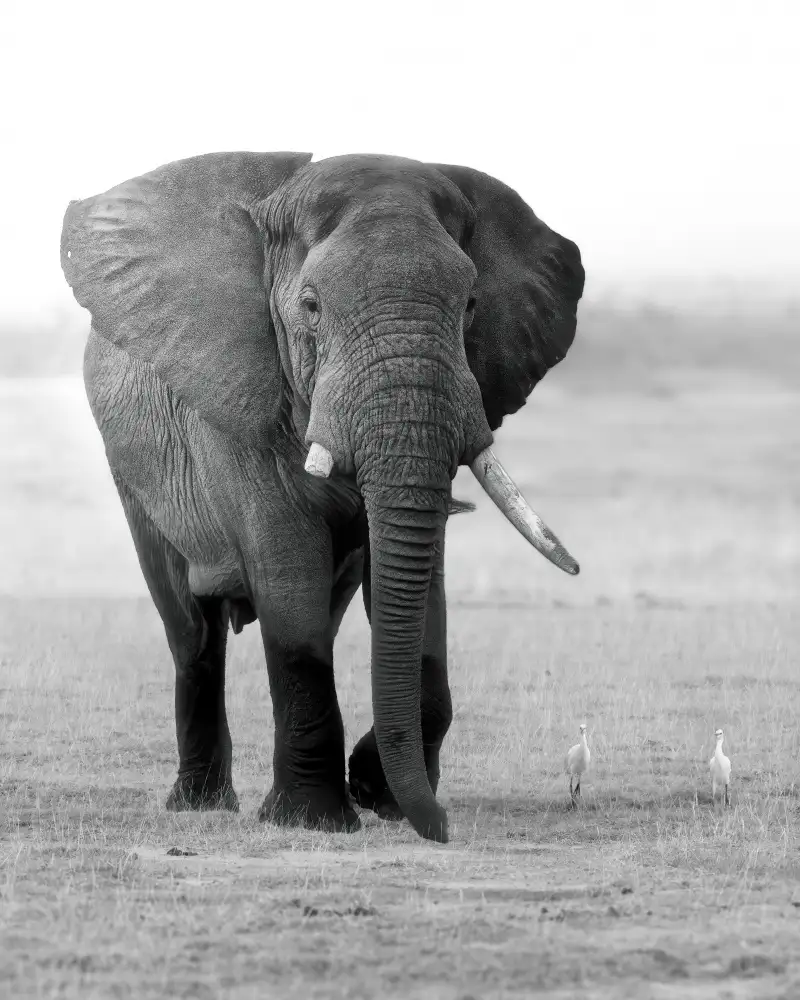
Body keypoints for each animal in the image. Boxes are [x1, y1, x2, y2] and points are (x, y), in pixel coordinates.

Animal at [60, 151, 584, 843]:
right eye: (309, 306)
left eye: (472, 304)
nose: (442, 829)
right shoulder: (238, 407)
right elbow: (290, 577)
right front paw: (314, 820)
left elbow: (419, 596)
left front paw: (377, 793)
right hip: (131, 470)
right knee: (191, 630)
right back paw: (199, 805)